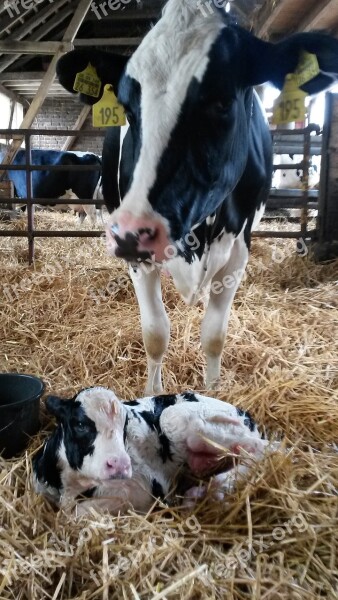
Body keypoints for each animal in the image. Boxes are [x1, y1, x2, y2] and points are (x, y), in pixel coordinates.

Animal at [33, 390, 268, 516]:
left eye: (124, 426)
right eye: (80, 424)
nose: (120, 464)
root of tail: (246, 414)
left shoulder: (142, 491)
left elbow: (78, 514)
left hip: (176, 418)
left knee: (265, 449)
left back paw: (214, 490)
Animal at [56, 0, 338, 394]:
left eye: (221, 103)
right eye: (127, 106)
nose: (131, 232)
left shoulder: (237, 252)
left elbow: (214, 336)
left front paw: (213, 393)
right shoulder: (138, 259)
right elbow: (155, 334)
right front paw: (152, 394)